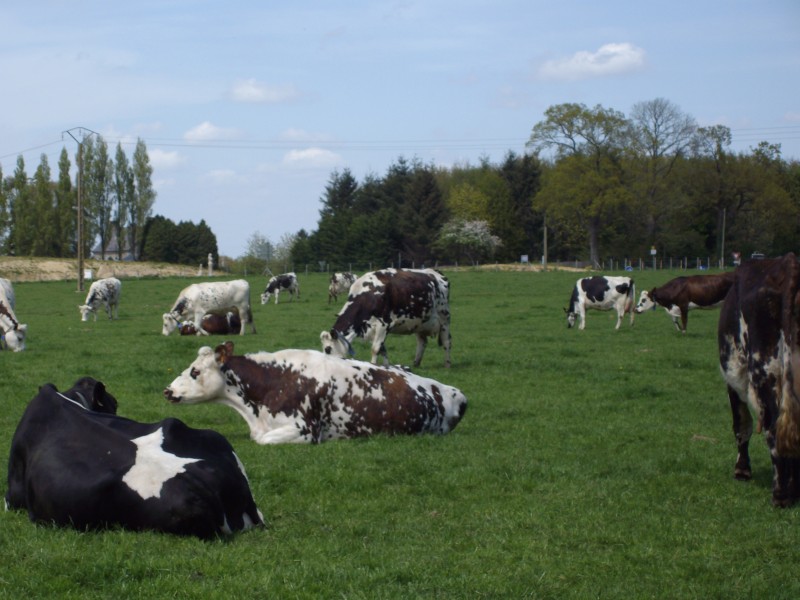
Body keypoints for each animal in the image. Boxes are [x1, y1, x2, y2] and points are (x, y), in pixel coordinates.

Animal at [320, 268, 452, 368]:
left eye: (328, 349)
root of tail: (435, 272)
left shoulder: (383, 324)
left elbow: (375, 348)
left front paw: (373, 365)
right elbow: (383, 349)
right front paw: (386, 367)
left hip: (444, 318)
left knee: (447, 341)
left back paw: (447, 365)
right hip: (420, 322)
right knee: (422, 342)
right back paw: (416, 363)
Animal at [718, 253, 800, 507]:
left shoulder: (733, 380)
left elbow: (741, 424)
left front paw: (742, 470)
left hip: (764, 372)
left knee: (773, 430)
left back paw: (780, 496)